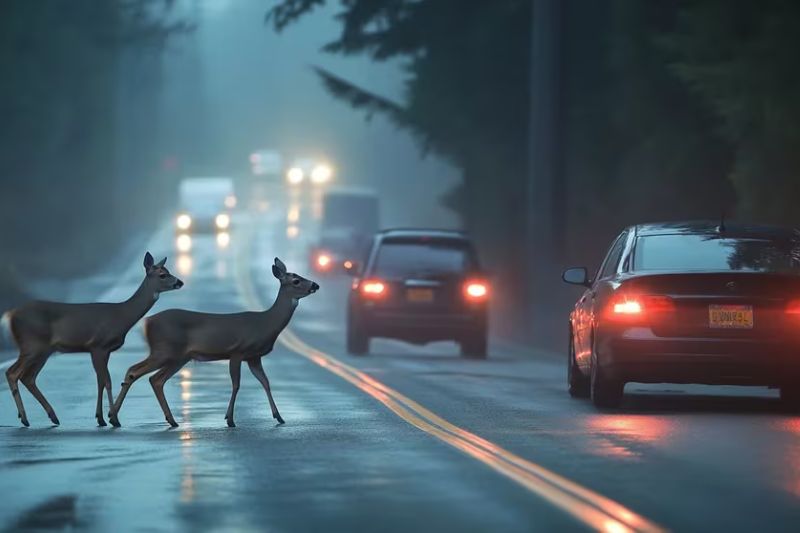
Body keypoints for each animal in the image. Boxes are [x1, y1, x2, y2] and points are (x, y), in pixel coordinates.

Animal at [4, 252, 183, 427]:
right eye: (162, 275)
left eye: (167, 271)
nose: (180, 282)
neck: (122, 316)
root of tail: (10, 315)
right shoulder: (98, 346)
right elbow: (107, 381)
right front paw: (114, 419)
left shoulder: (103, 350)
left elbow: (100, 382)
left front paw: (101, 418)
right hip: (32, 345)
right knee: (12, 373)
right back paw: (25, 418)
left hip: (44, 350)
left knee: (28, 378)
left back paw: (52, 416)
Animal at [109, 257, 318, 428]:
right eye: (296, 280)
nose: (315, 285)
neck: (265, 323)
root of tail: (147, 322)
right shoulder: (238, 351)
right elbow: (236, 384)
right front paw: (230, 419)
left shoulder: (254, 357)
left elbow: (266, 382)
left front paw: (279, 416)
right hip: (164, 350)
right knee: (135, 371)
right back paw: (114, 418)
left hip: (179, 357)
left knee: (156, 379)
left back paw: (170, 420)